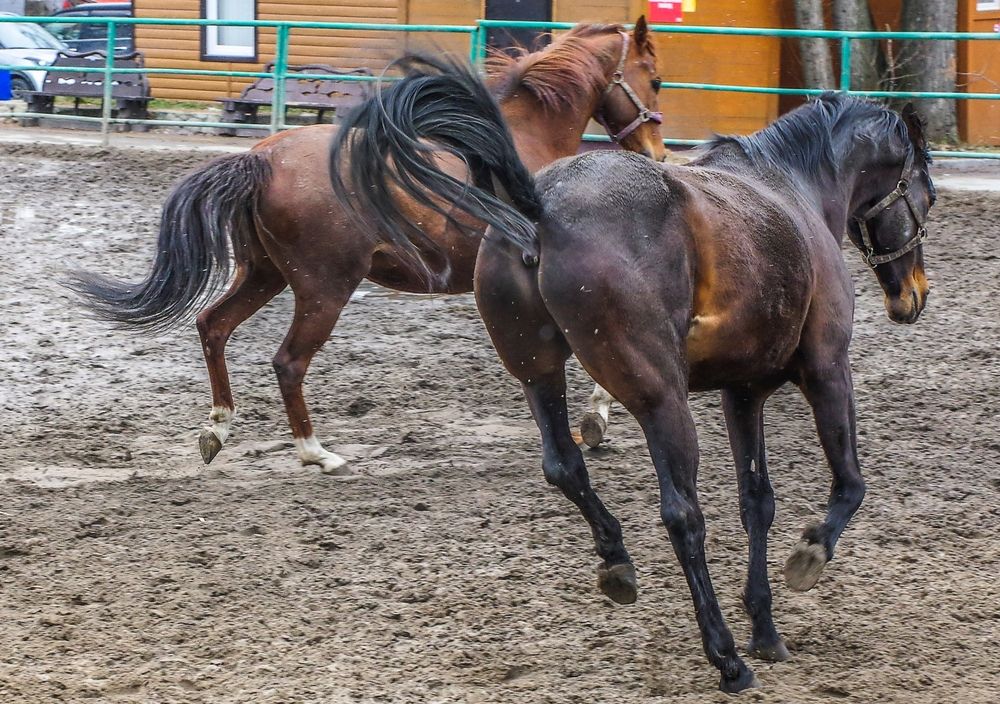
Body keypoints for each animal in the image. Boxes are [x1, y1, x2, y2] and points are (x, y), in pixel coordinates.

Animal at [68, 19, 665, 474]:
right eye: (656, 80)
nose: (658, 151)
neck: (526, 145)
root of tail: (260, 159)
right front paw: (595, 422)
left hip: (264, 274)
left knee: (212, 325)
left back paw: (218, 430)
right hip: (323, 288)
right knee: (288, 362)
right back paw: (317, 453)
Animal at [331, 90, 934, 691]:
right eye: (925, 194)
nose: (913, 296)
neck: (791, 189)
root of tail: (539, 209)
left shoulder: (743, 392)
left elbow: (757, 503)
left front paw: (765, 628)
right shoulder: (827, 368)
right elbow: (849, 485)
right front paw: (807, 557)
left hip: (538, 374)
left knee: (564, 466)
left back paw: (617, 561)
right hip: (662, 399)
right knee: (682, 515)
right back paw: (726, 658)